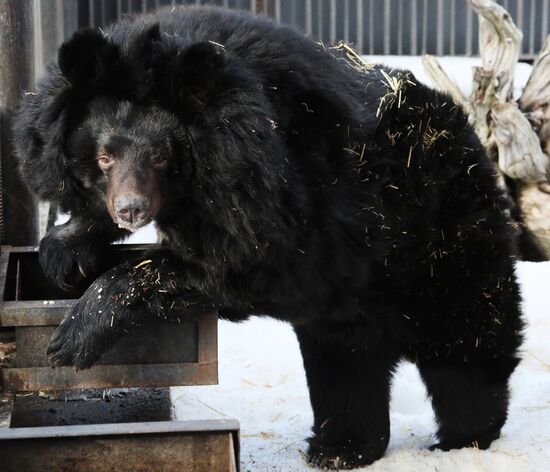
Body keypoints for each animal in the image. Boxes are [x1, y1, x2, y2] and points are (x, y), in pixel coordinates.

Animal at [12, 6, 524, 468]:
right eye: (104, 157)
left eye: (161, 156)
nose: (131, 209)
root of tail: (467, 131)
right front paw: (63, 252)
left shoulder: (273, 192)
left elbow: (236, 264)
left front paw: (71, 338)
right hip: (359, 291)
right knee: (348, 360)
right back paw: (340, 449)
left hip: (438, 235)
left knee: (464, 339)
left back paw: (464, 436)